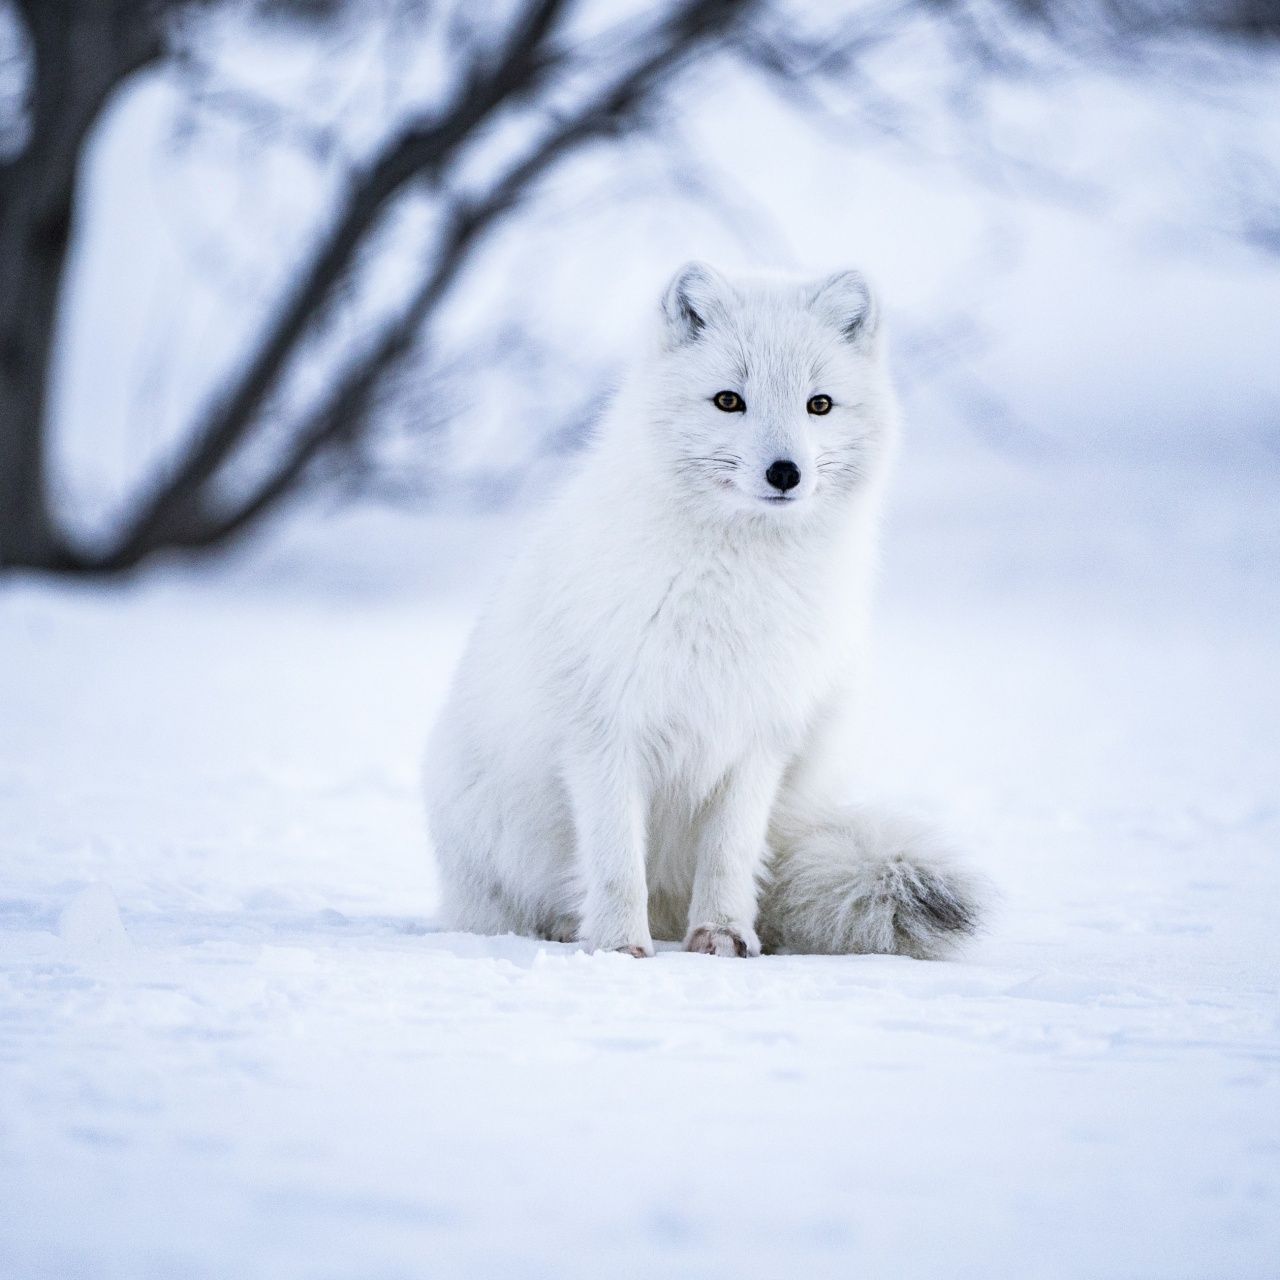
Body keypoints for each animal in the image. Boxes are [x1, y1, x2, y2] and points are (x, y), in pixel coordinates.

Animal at [423, 262, 986, 958]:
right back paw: (562, 928)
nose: (785, 472)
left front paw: (722, 935)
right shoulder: (605, 732)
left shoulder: (758, 737)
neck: (733, 584)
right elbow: (615, 861)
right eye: (728, 401)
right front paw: (618, 947)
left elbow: (729, 854)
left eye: (819, 404)